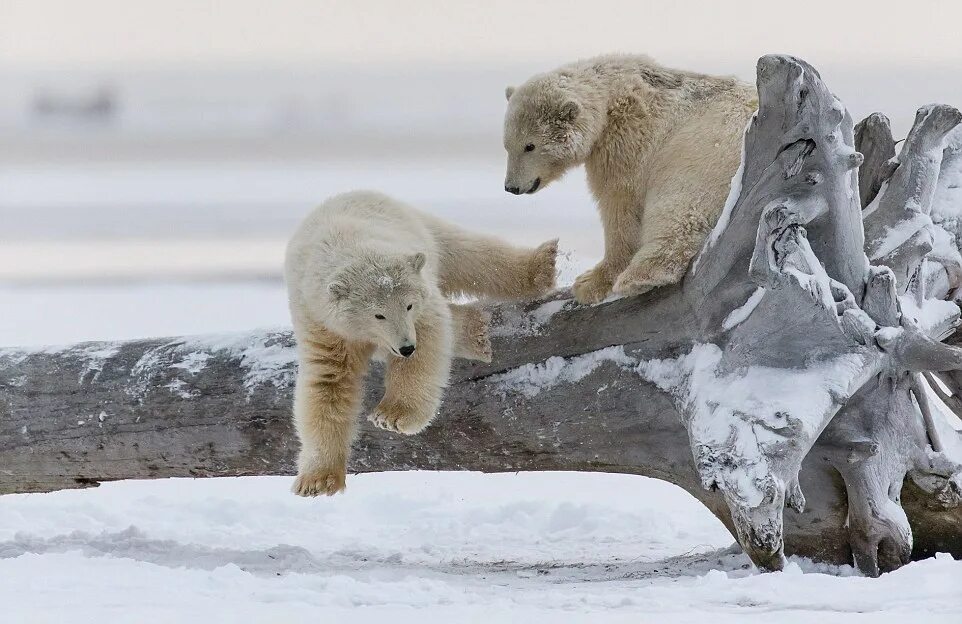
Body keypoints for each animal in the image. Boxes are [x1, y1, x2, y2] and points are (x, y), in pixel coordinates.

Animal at [284, 190, 556, 498]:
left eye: (408, 305)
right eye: (378, 314)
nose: (405, 347)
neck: (350, 245)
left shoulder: (419, 307)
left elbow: (427, 339)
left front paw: (391, 416)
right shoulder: (322, 323)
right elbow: (328, 382)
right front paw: (315, 482)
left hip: (425, 233)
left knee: (468, 253)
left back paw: (542, 266)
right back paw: (476, 332)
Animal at [502, 54, 756, 304]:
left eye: (529, 146)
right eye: (506, 145)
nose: (511, 187)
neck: (611, 95)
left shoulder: (627, 138)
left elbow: (619, 204)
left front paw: (589, 282)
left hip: (704, 147)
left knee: (680, 202)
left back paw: (641, 276)